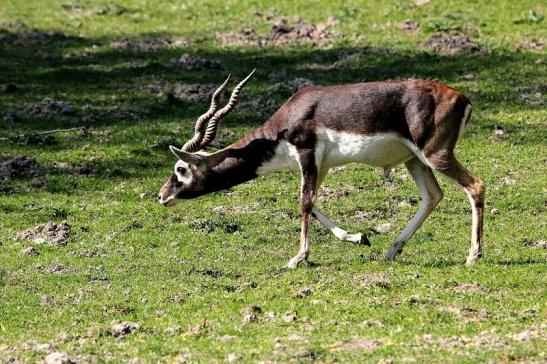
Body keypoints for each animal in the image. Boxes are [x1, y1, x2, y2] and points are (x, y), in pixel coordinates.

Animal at [157, 70, 484, 268]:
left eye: (181, 169)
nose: (161, 196)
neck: (287, 122)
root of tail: (462, 98)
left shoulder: (306, 154)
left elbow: (303, 203)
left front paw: (298, 258)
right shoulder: (320, 165)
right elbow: (312, 204)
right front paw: (358, 237)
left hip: (434, 155)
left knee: (475, 186)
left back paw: (474, 256)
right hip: (414, 160)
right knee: (433, 196)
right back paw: (392, 250)